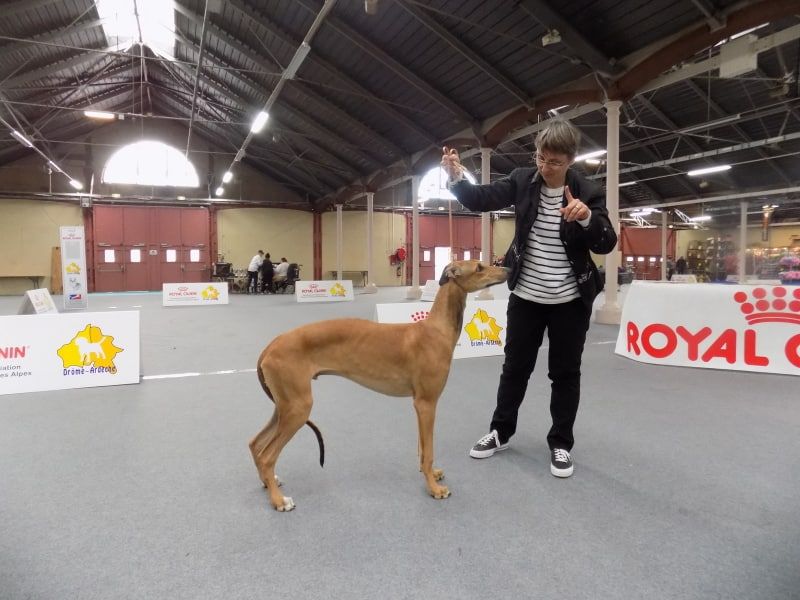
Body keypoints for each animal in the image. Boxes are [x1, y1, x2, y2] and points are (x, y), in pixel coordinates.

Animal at [248, 258, 506, 510]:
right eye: (479, 267)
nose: (508, 269)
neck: (435, 329)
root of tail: (270, 346)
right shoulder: (427, 403)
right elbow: (429, 450)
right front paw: (434, 489)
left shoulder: (420, 406)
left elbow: (422, 449)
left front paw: (431, 474)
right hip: (298, 409)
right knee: (267, 455)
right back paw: (279, 500)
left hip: (285, 406)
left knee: (255, 444)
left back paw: (269, 483)